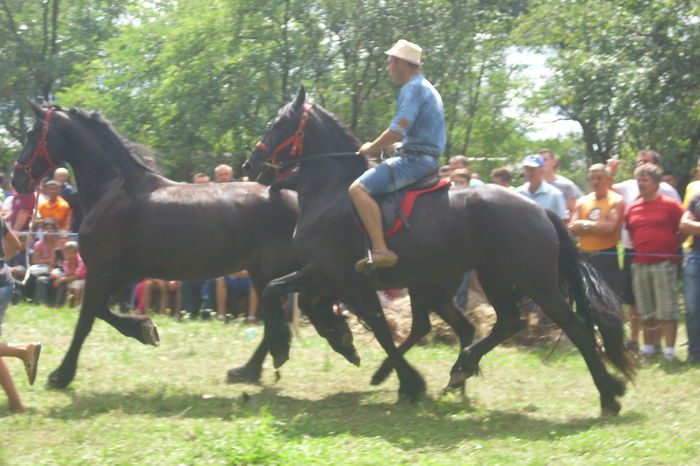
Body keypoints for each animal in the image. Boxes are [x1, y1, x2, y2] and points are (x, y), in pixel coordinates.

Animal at [249, 87, 636, 416]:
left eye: (278, 123)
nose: (250, 164)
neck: (332, 195)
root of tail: (541, 210)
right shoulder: (338, 281)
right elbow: (324, 311)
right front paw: (345, 342)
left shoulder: (331, 275)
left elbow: (279, 294)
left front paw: (285, 347)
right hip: (487, 278)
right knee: (504, 322)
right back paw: (461, 368)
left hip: (534, 282)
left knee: (575, 327)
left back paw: (608, 395)